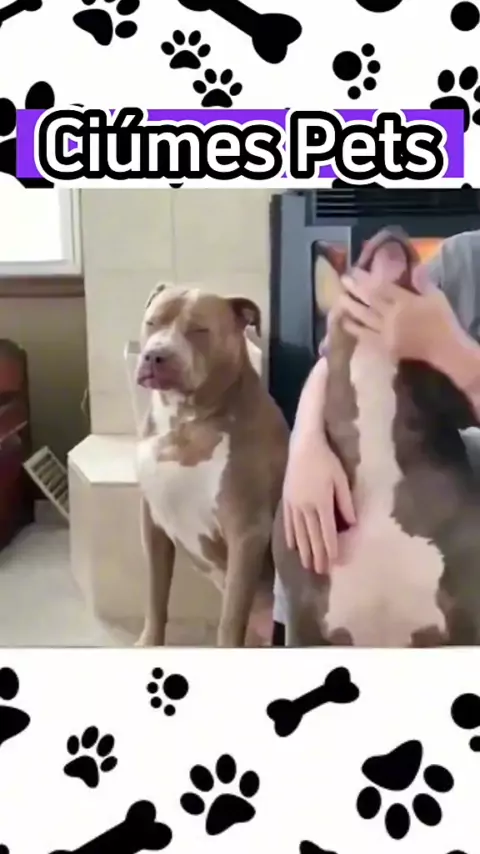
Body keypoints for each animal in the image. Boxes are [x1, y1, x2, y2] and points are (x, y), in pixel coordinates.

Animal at [135, 283, 289, 647]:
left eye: (199, 330)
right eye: (152, 322)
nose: (155, 355)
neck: (185, 420)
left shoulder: (246, 532)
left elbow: (230, 620)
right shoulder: (152, 522)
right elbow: (155, 593)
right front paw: (149, 641)